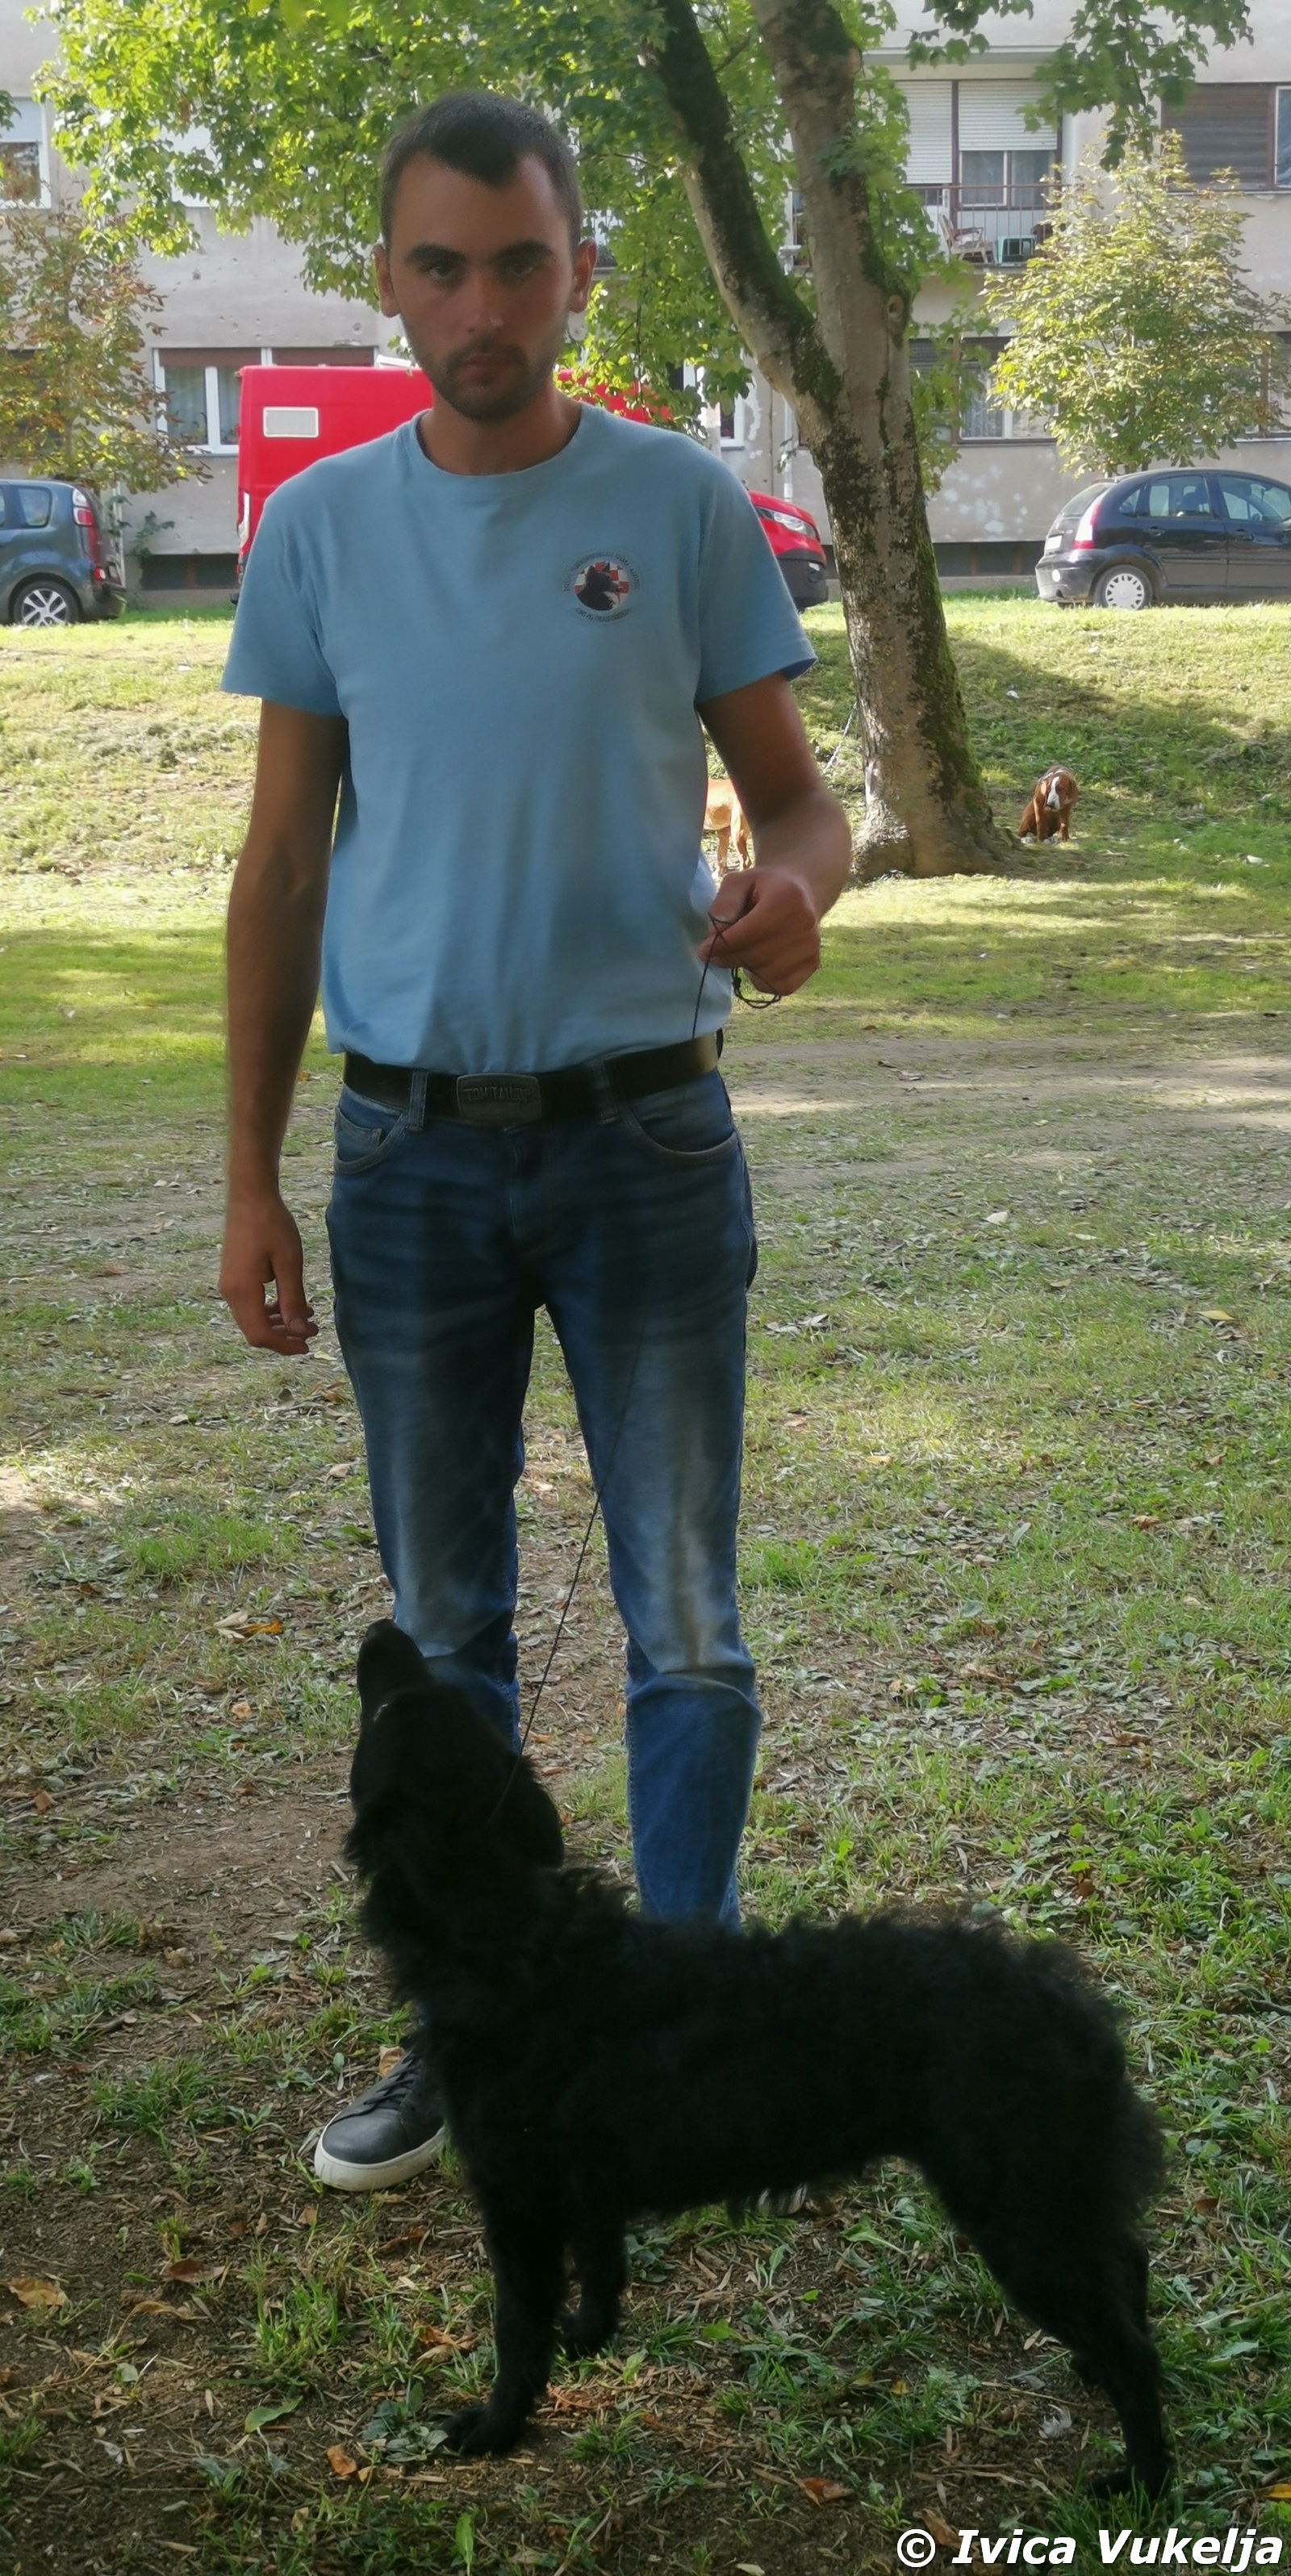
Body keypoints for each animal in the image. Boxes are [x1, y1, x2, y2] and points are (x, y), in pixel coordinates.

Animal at [346, 1621, 1171, 2492]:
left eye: (389, 1710)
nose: (384, 1631)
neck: (516, 1935)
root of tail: (1069, 2003)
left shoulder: (517, 2206)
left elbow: (516, 2331)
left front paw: (497, 2426)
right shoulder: (585, 2187)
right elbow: (602, 2272)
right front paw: (589, 2339)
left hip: (1020, 2217)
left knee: (1132, 2347)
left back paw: (1143, 2481)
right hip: (1055, 2203)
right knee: (1129, 2268)